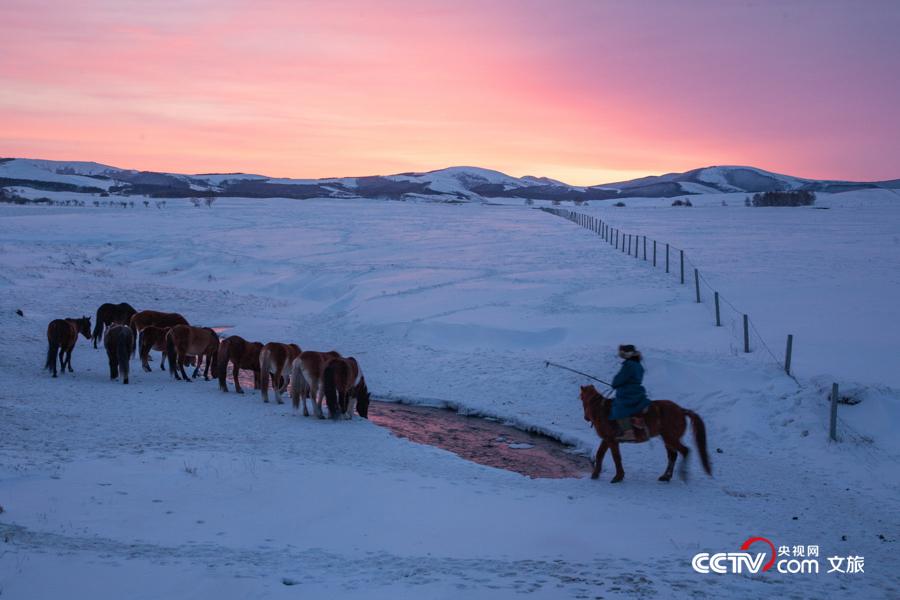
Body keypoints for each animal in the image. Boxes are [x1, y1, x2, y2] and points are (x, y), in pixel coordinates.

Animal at [580, 384, 712, 482]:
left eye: (581, 398)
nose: (585, 417)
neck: (602, 410)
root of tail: (681, 410)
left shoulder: (612, 440)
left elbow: (616, 457)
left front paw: (618, 477)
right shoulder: (607, 439)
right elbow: (600, 454)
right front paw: (595, 474)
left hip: (670, 438)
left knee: (685, 451)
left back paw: (682, 473)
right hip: (668, 439)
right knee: (673, 456)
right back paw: (666, 476)